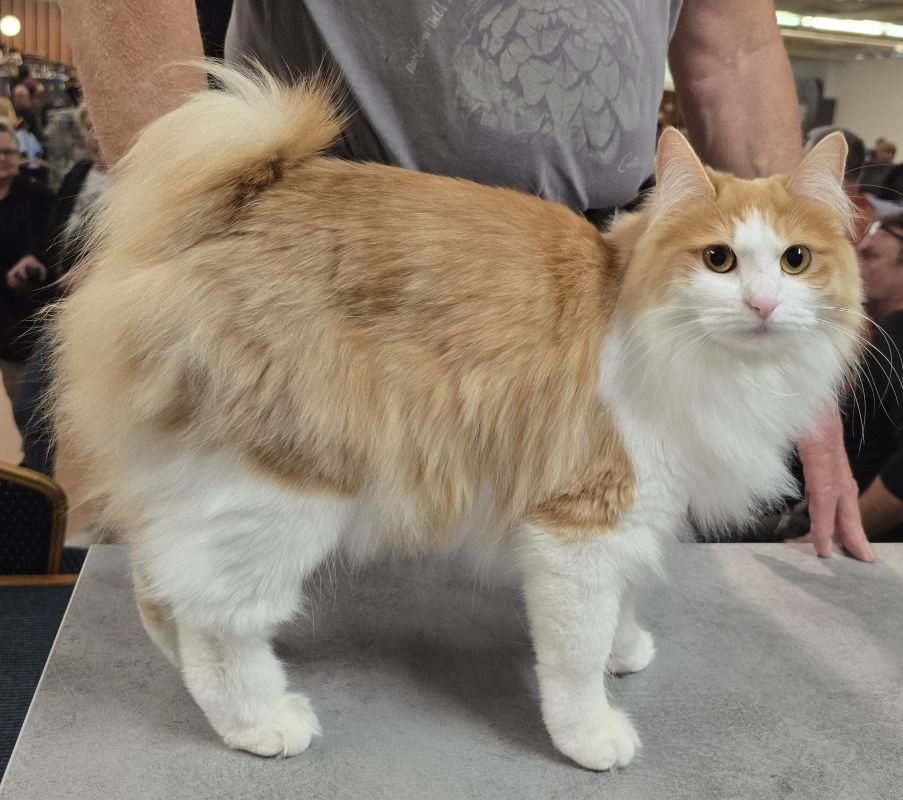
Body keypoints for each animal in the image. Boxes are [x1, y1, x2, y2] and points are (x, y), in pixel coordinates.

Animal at [50, 65, 863, 771]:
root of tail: (240, 199)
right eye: (718, 260)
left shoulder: (642, 510)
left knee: (163, 587)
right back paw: (261, 722)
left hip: (211, 487)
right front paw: (589, 732)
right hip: (285, 491)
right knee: (215, 624)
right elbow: (574, 655)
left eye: (794, 261)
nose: (763, 304)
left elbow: (623, 600)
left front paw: (625, 649)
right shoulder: (582, 523)